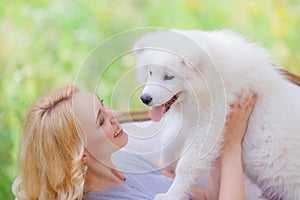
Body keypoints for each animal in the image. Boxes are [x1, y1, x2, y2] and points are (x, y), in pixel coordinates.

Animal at [133, 29, 300, 200]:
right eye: (150, 72)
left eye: (169, 77)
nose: (145, 98)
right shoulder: (189, 121)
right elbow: (169, 144)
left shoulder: (210, 124)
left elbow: (186, 165)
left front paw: (172, 195)